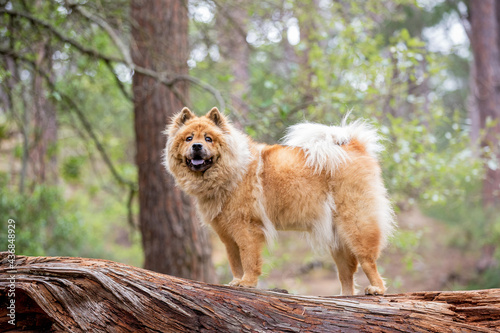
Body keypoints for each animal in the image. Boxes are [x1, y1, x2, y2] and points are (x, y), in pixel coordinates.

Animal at [166, 105, 396, 294]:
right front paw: (236, 281)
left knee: (368, 261)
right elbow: (235, 261)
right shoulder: (227, 235)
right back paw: (344, 297)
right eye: (188, 139)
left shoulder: (247, 229)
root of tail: (354, 146)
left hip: (356, 225)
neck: (230, 173)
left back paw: (377, 289)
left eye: (208, 139)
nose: (197, 146)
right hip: (337, 238)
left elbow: (249, 259)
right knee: (346, 272)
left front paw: (247, 283)